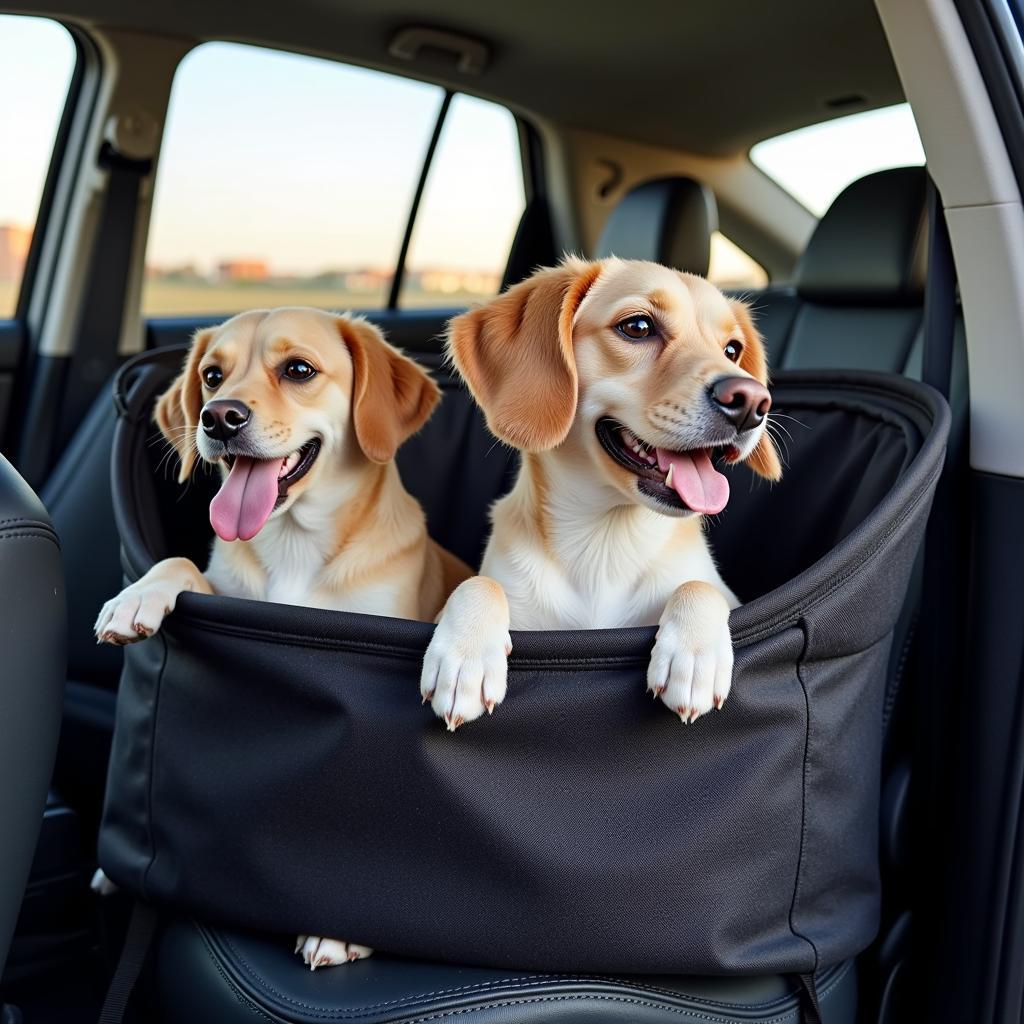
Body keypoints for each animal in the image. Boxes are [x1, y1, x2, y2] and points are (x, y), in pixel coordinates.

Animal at [96, 303, 471, 966]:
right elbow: (181, 564)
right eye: (212, 376)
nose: (219, 417)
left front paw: (339, 928)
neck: (296, 545)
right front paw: (136, 596)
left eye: (299, 370)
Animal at [419, 260, 778, 733]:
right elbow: (479, 584)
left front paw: (695, 656)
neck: (605, 539)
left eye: (733, 349)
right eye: (638, 326)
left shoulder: (721, 592)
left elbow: (700, 585)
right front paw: (464, 656)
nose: (752, 401)